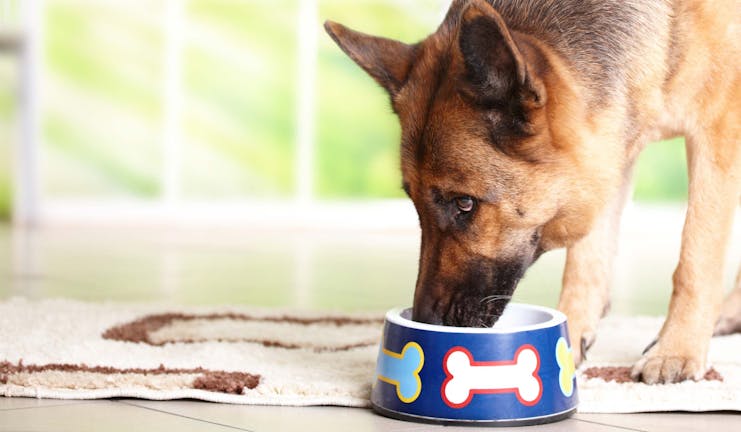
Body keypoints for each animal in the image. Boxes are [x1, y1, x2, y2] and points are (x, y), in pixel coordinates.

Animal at [326, 0, 740, 384]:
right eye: (414, 203)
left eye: (465, 203)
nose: (426, 321)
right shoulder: (607, 147)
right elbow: (586, 260)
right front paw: (570, 336)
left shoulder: (716, 132)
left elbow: (695, 258)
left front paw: (677, 350)